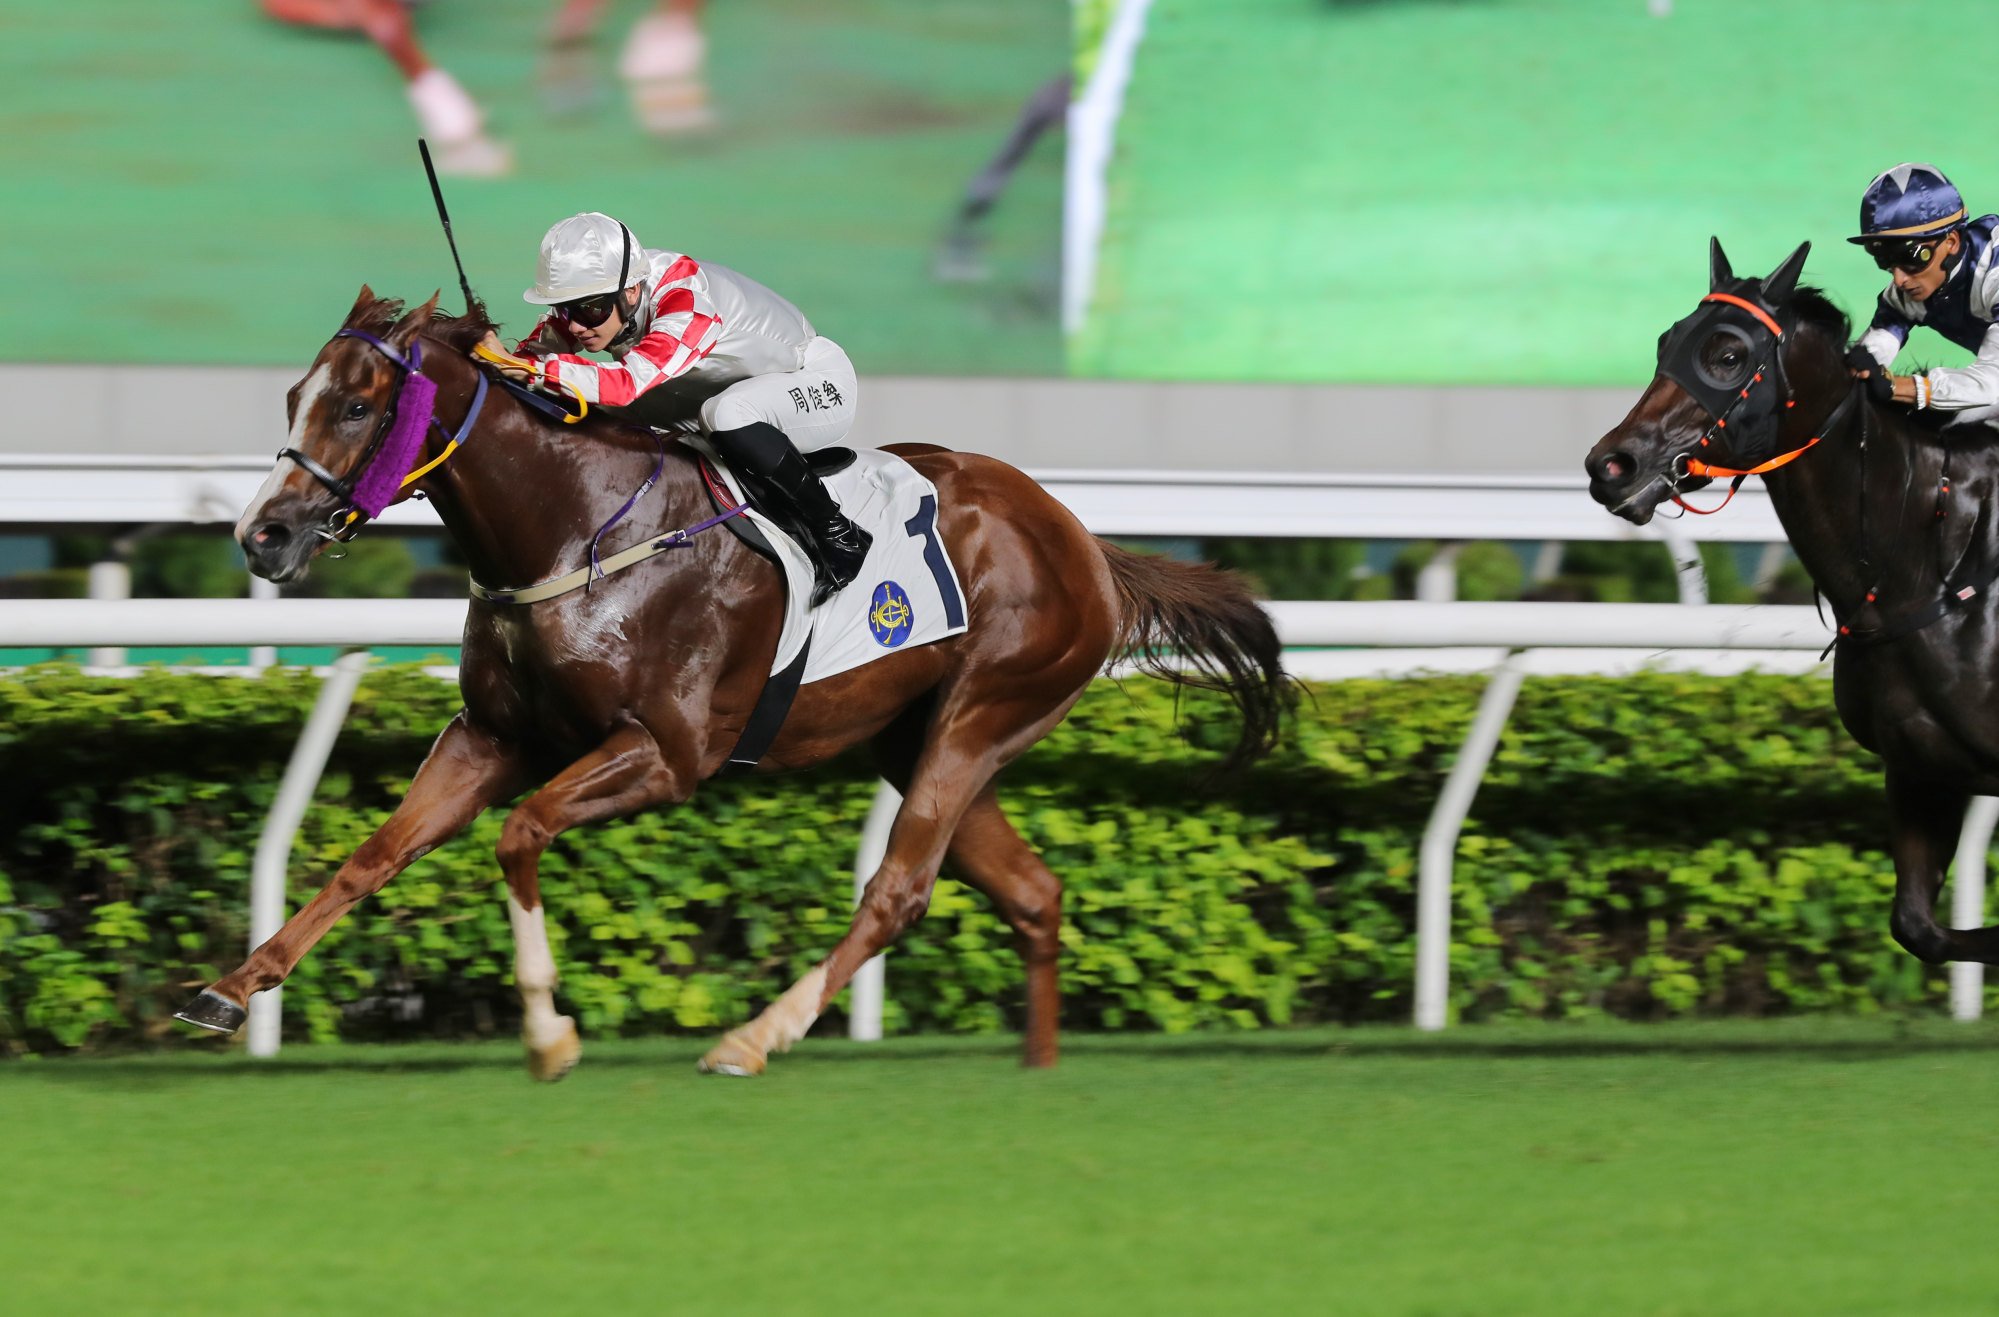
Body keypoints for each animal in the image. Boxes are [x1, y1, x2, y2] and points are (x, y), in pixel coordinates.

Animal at [179, 291, 1287, 1079]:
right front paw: (230, 990)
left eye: (357, 404)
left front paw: (549, 1035)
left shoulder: (664, 754)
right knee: (1032, 893)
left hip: (981, 715)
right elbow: (374, 854)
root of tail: (1083, 540)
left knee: (897, 892)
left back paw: (758, 1036)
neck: (575, 524)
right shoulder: (491, 735)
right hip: (917, 735)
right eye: (294, 398)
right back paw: (1037, 1066)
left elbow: (520, 834)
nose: (262, 536)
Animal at [1583, 241, 1999, 975]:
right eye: (1666, 341)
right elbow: (1918, 927)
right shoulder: (1919, 770)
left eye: (1726, 354)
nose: (1611, 466)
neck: (1931, 564)